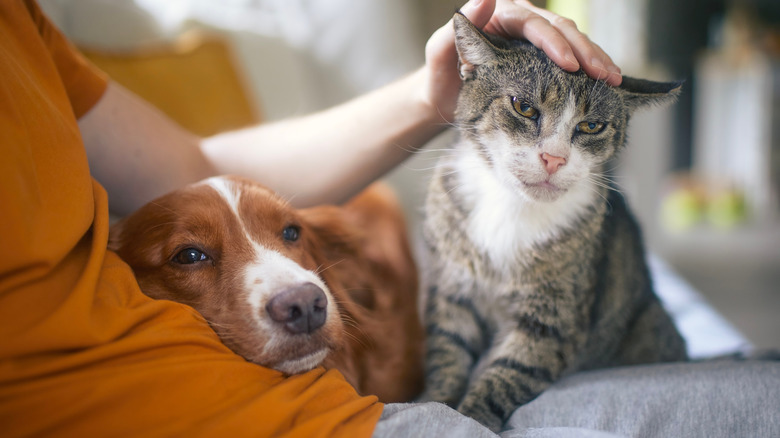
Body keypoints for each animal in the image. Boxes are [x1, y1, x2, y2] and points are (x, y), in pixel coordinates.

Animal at [420, 12, 688, 432]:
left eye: (592, 126)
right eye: (523, 107)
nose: (554, 158)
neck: (511, 207)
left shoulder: (553, 316)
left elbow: (509, 372)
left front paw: (472, 419)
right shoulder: (452, 291)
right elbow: (448, 352)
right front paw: (438, 406)